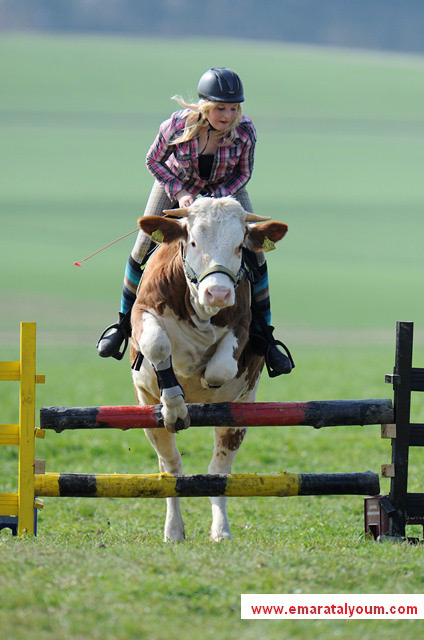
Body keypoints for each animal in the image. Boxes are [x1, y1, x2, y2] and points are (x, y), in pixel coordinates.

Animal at [130, 195, 288, 540]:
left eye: (240, 246)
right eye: (192, 241)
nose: (218, 292)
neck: (200, 309)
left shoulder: (242, 328)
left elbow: (220, 368)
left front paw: (202, 381)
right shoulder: (143, 312)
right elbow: (158, 344)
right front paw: (176, 404)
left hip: (240, 417)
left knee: (219, 470)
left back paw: (221, 530)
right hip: (147, 410)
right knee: (171, 467)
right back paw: (174, 530)